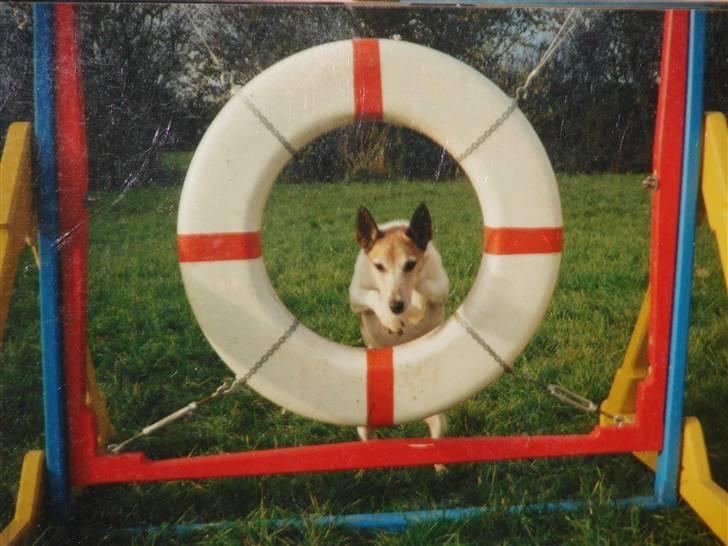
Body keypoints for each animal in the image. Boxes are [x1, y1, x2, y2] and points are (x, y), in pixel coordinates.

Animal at [348, 203, 450, 442]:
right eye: (378, 266)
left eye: (410, 265)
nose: (396, 306)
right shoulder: (355, 295)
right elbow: (373, 295)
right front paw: (391, 319)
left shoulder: (441, 285)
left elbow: (423, 285)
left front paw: (416, 305)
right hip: (363, 427)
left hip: (439, 422)